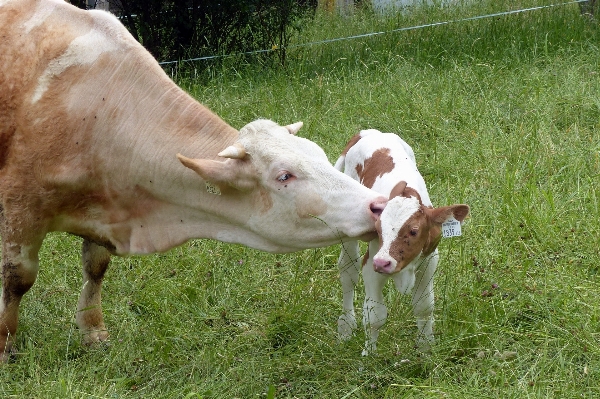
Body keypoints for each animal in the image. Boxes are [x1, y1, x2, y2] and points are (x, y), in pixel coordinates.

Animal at [0, 0, 390, 362]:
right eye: (284, 176)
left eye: (320, 155)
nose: (378, 205)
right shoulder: (20, 207)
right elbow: (19, 277)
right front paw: (6, 344)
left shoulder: (103, 210)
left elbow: (96, 267)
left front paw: (93, 332)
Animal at [332, 130, 468, 354]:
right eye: (378, 229)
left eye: (413, 231)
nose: (383, 263)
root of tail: (368, 132)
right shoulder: (372, 263)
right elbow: (374, 315)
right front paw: (369, 355)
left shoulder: (429, 261)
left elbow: (424, 307)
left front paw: (426, 348)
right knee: (348, 271)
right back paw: (345, 326)